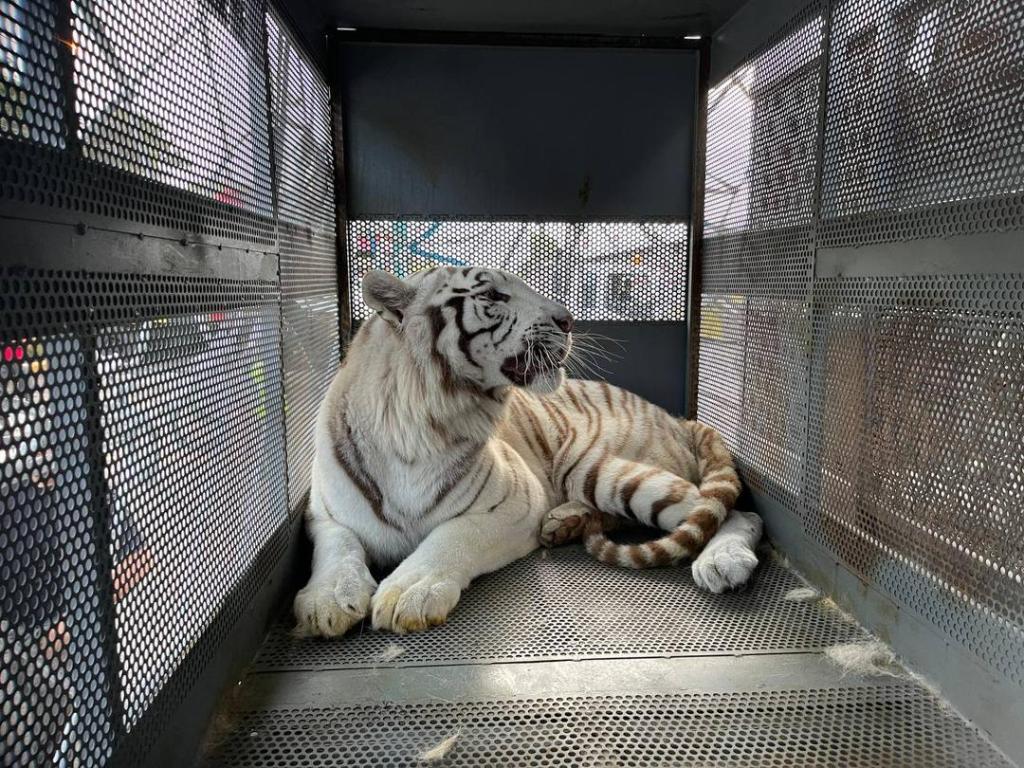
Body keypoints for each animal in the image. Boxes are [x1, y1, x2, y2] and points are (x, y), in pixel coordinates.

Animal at [295, 266, 763, 636]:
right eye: (491, 295)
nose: (569, 320)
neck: (416, 426)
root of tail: (679, 418)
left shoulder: (516, 502)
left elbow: (453, 536)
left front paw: (409, 590)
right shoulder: (323, 512)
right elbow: (336, 546)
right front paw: (326, 598)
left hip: (592, 466)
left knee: (736, 513)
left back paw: (722, 562)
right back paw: (566, 523)